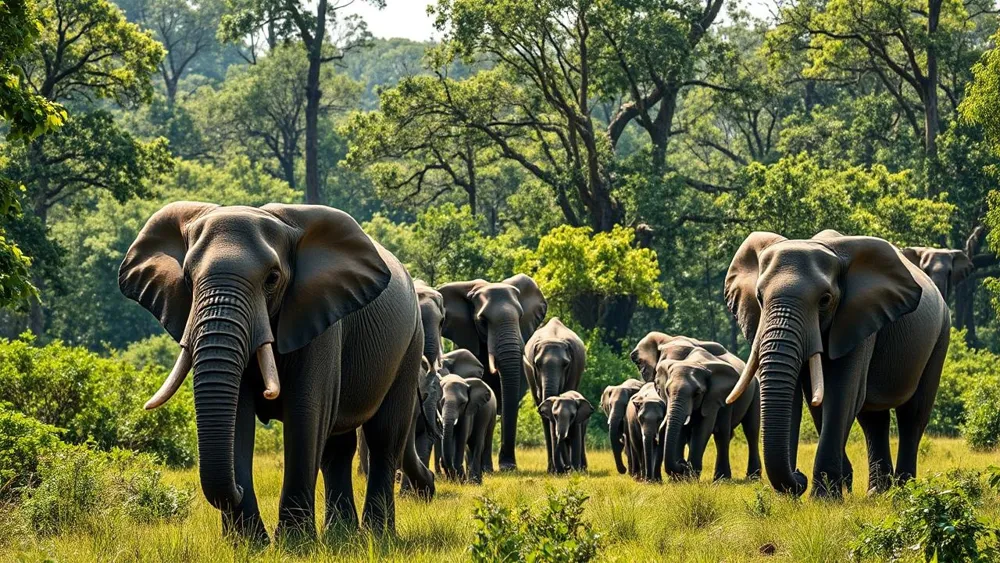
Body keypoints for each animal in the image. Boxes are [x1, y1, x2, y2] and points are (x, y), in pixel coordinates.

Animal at [118, 202, 433, 542]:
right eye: (188, 278)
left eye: (272, 278)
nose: (238, 489)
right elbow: (239, 417)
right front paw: (249, 543)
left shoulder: (320, 319)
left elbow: (306, 413)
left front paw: (294, 543)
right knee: (338, 447)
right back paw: (342, 534)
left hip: (411, 343)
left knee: (384, 437)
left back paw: (376, 535)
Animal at [652, 343, 761, 481]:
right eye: (666, 391)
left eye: (697, 393)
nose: (682, 464)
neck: (695, 362)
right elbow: (682, 430)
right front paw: (681, 479)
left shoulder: (714, 395)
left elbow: (703, 428)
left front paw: (691, 477)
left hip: (755, 390)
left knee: (749, 430)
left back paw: (746, 478)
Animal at [724, 229, 949, 498]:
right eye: (759, 297)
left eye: (825, 300)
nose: (799, 477)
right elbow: (802, 400)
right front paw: (798, 496)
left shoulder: (857, 318)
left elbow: (842, 393)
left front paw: (824, 498)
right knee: (873, 420)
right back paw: (877, 493)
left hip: (940, 337)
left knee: (912, 415)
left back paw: (903, 491)